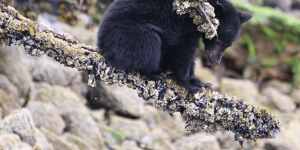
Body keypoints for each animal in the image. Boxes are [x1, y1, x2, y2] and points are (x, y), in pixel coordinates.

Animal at [97, 0, 252, 92]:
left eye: (228, 44)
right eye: (217, 39)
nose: (215, 61)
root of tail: (101, 45)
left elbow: (190, 55)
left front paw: (199, 81)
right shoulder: (182, 27)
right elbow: (182, 51)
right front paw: (189, 84)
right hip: (129, 34)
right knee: (150, 43)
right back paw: (155, 74)